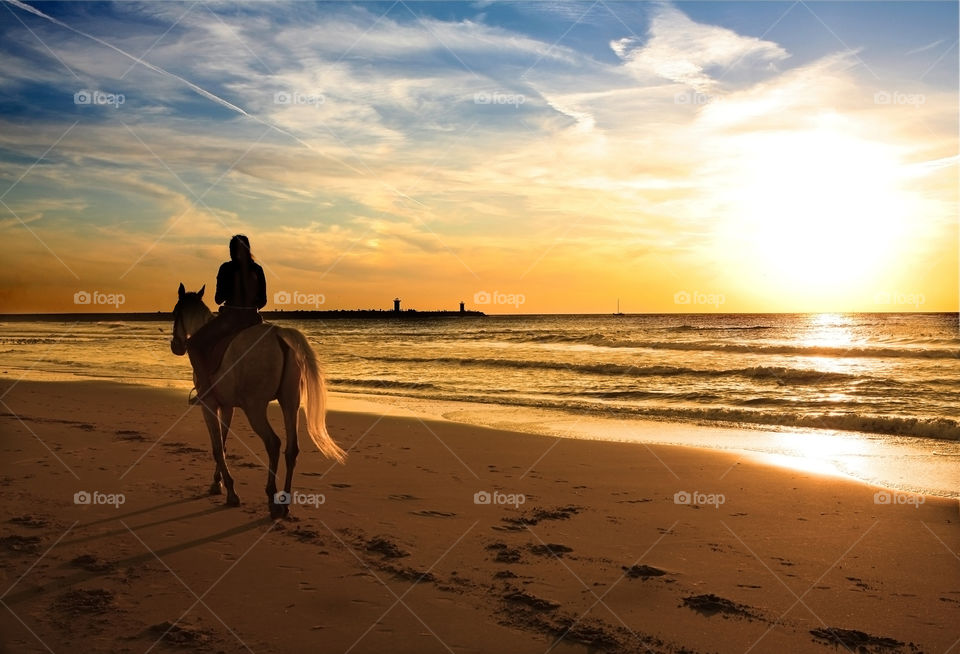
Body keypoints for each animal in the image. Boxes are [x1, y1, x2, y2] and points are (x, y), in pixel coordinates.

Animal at [171, 284, 346, 520]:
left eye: (174, 313)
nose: (176, 346)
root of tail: (278, 335)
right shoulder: (227, 407)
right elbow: (223, 444)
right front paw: (218, 483)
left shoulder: (209, 406)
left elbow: (217, 447)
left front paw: (230, 491)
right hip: (289, 403)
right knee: (291, 449)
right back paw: (284, 502)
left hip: (255, 408)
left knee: (273, 443)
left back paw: (272, 498)